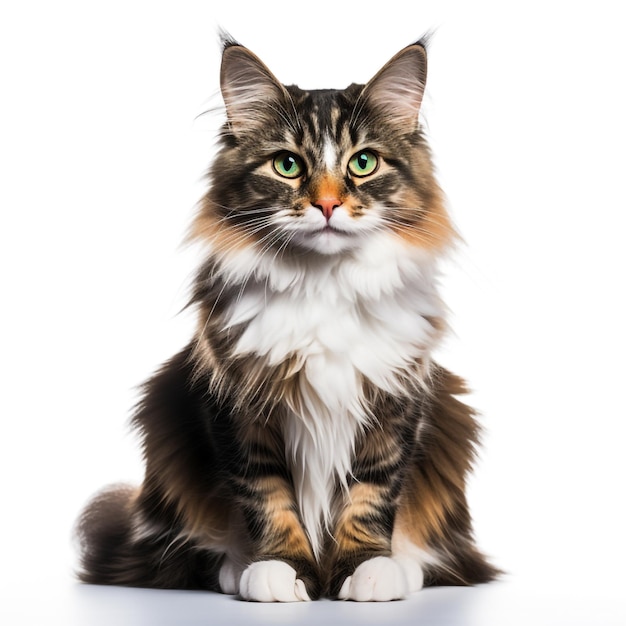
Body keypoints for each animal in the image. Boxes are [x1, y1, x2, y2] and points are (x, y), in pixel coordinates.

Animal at [74, 34, 498, 600]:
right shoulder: (238, 402)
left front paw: (366, 569)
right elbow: (267, 497)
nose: (327, 204)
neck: (325, 286)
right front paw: (282, 570)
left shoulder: (396, 403)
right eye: (288, 166)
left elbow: (372, 496)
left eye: (364, 163)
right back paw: (236, 569)